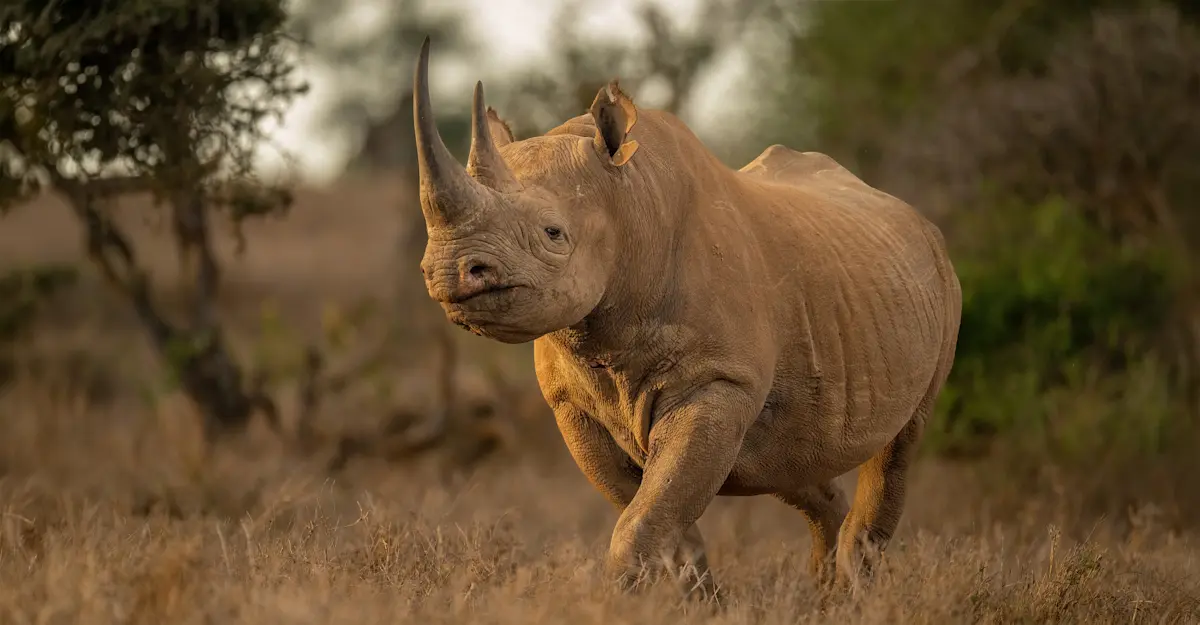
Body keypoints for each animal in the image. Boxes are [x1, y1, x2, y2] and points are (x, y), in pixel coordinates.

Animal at [411, 38, 962, 599]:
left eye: (553, 233)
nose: (450, 271)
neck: (627, 202)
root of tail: (908, 214)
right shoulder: (572, 404)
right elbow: (658, 514)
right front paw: (698, 601)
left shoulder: (717, 380)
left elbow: (650, 512)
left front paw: (623, 601)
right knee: (790, 459)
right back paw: (828, 591)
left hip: (942, 280)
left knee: (901, 442)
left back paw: (855, 589)